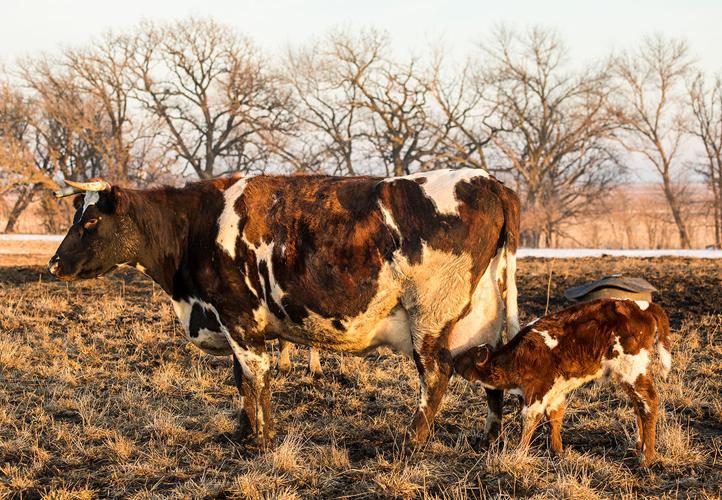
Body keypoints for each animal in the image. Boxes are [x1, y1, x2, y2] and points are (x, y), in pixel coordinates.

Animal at [48, 168, 520, 448]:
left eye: (91, 222)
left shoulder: (237, 316)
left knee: (435, 373)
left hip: (430, 314)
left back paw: (411, 441)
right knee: (490, 369)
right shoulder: (239, 324)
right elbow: (242, 379)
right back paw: (489, 438)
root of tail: (487, 180)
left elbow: (257, 377)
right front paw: (244, 431)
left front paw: (262, 439)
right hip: (483, 312)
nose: (54, 264)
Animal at [454, 298, 672, 467]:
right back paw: (639, 448)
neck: (516, 357)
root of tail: (642, 306)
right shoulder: (556, 391)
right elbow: (555, 416)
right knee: (638, 405)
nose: (453, 360)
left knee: (649, 403)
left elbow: (530, 419)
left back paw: (646, 458)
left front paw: (519, 452)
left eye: (467, 356)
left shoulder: (537, 391)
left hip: (632, 369)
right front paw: (557, 451)